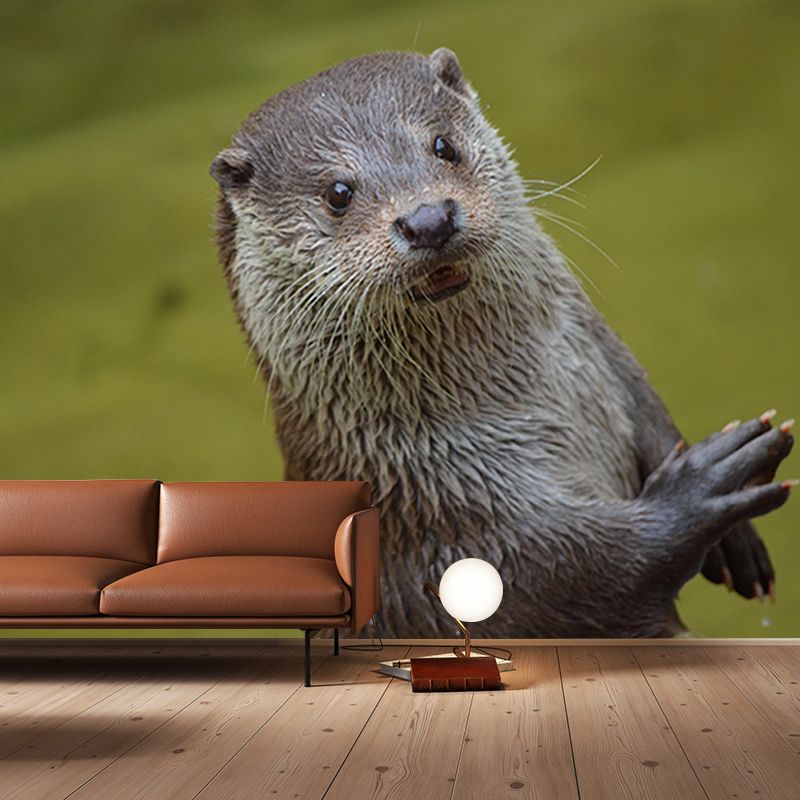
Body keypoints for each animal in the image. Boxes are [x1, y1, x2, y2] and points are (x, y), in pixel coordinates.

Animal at [210, 48, 794, 637]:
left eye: (443, 145)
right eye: (337, 193)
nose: (428, 218)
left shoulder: (611, 362)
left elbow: (651, 415)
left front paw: (737, 542)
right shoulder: (454, 525)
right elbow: (584, 573)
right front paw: (705, 488)